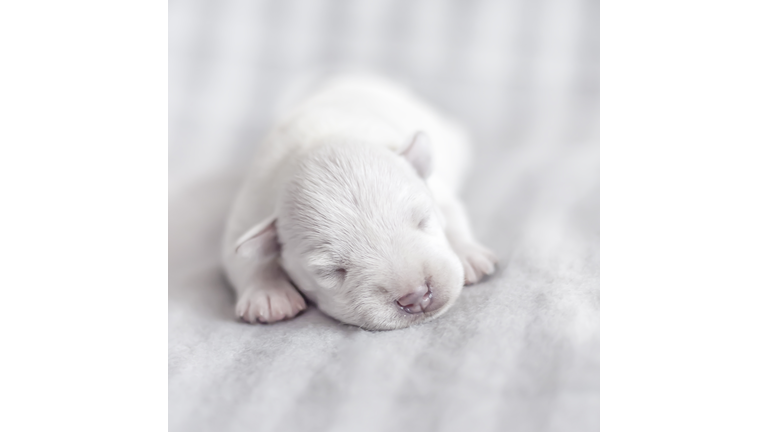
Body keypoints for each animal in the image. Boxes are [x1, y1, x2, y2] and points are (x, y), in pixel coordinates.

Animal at [222, 76, 498, 330]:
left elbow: (452, 213)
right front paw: (267, 296)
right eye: (332, 270)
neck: (322, 139)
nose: (417, 296)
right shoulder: (250, 206)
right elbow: (241, 255)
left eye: (423, 221)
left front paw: (469, 255)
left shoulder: (436, 187)